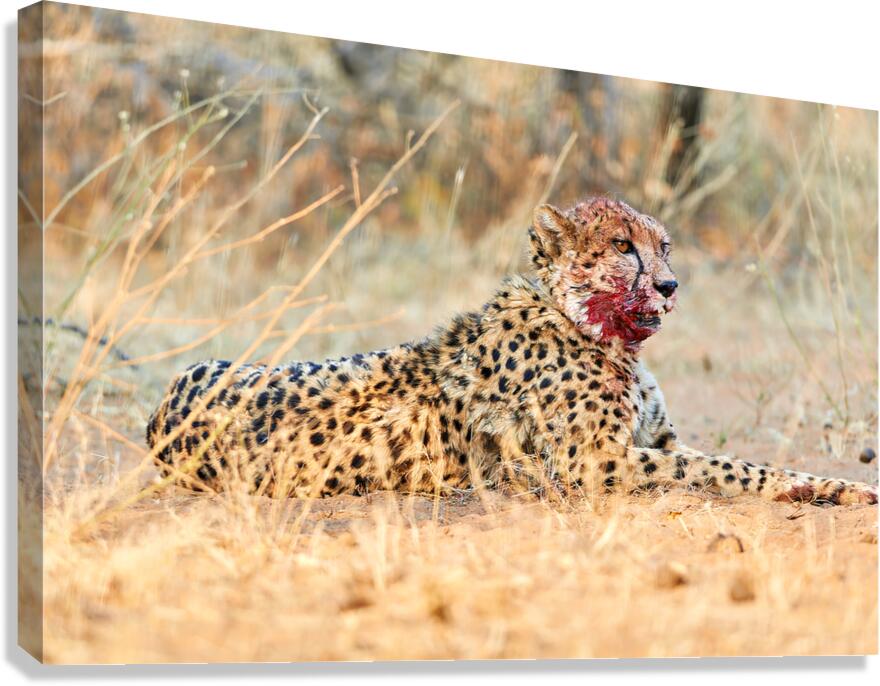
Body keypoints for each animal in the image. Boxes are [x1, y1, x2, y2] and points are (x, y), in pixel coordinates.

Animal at [146, 196, 878, 506]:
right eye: (623, 247)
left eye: (663, 246)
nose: (671, 286)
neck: (585, 323)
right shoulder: (595, 465)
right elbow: (728, 469)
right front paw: (831, 486)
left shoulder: (654, 441)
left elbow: (726, 460)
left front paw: (827, 482)